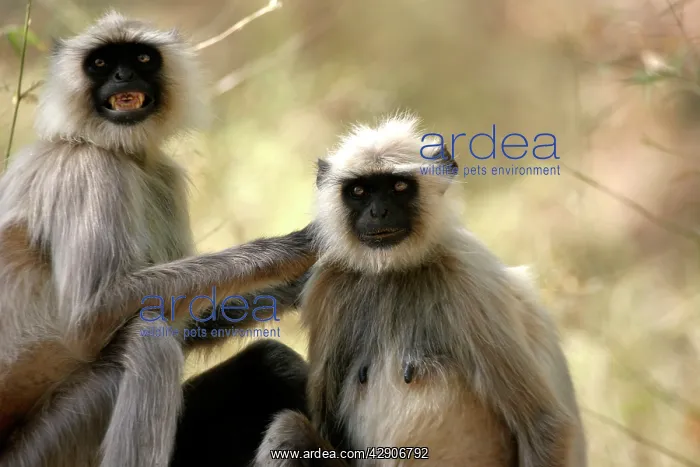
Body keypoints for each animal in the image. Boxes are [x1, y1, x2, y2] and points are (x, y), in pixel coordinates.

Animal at [0, 12, 315, 467]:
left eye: (142, 58)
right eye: (101, 63)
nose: (123, 75)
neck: (113, 148)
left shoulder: (163, 175)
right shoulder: (87, 169)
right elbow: (90, 318)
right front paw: (294, 250)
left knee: (273, 362)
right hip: (44, 450)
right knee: (148, 343)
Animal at [253, 115, 587, 467]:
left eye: (399, 187)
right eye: (359, 191)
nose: (378, 213)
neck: (393, 272)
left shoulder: (472, 280)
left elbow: (545, 425)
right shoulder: (328, 286)